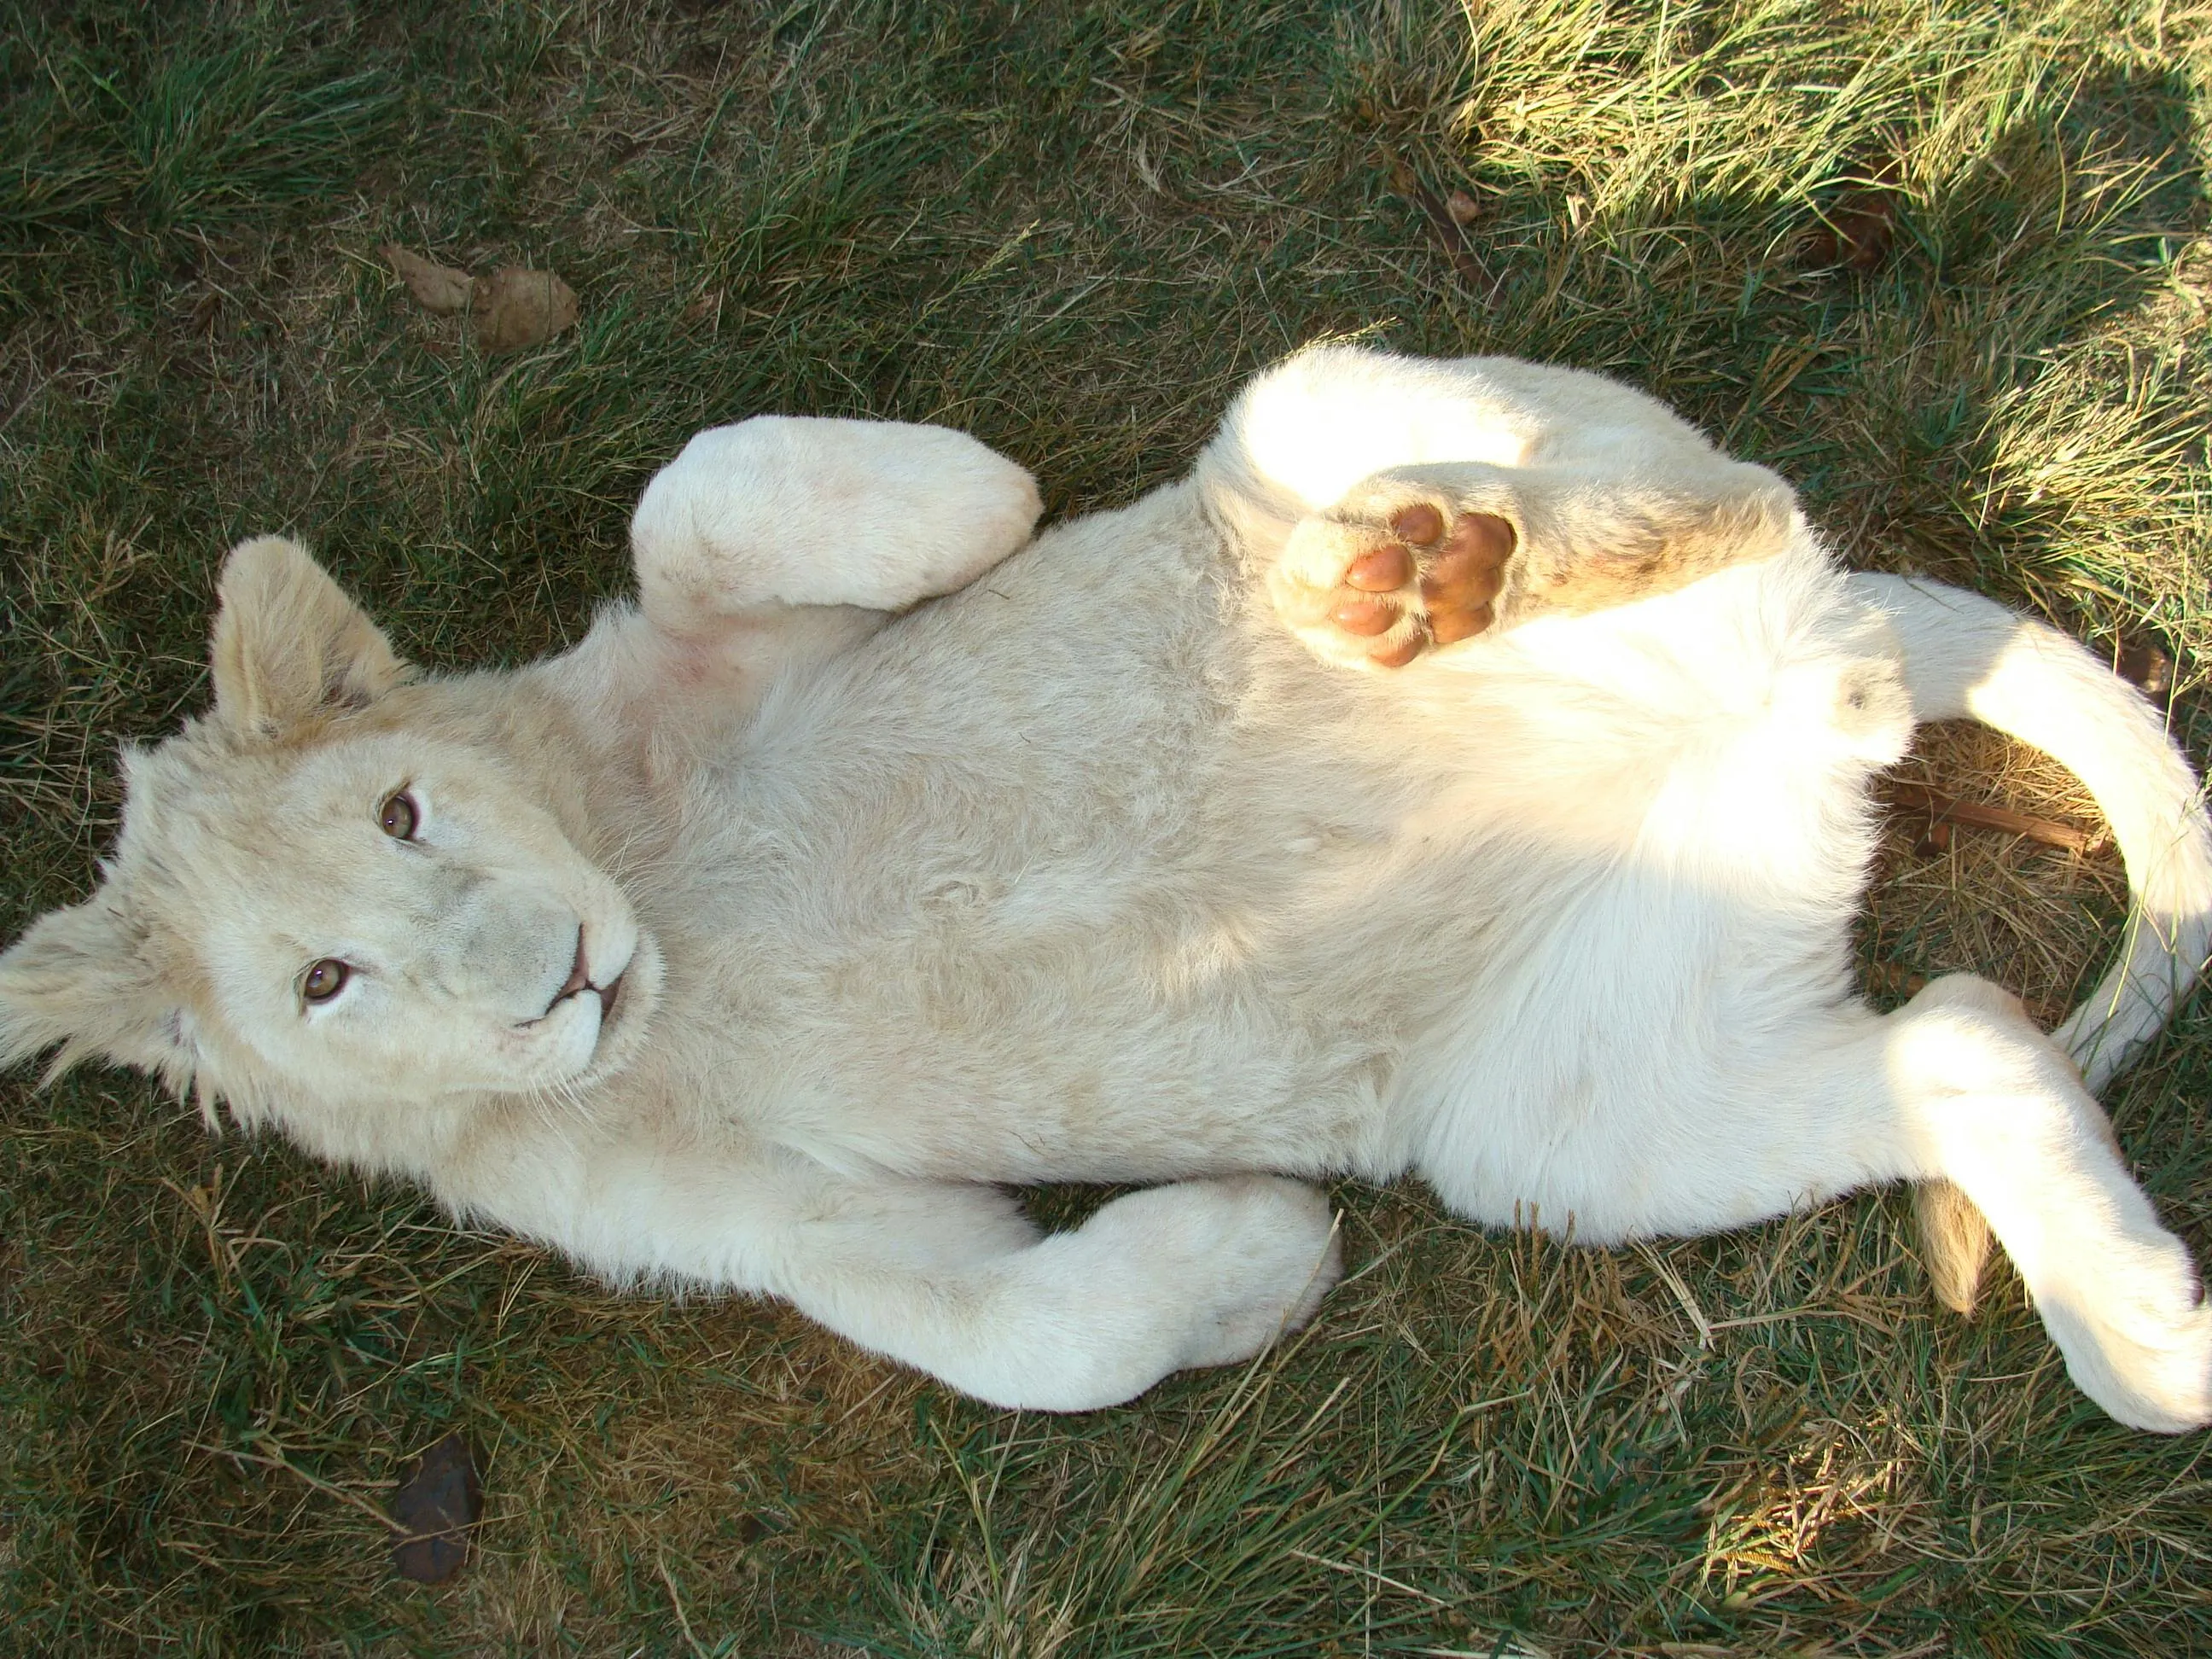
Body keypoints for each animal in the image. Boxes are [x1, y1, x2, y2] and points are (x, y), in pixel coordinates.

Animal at [5, 346, 2210, 1429]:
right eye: (321, 986)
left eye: (402, 811)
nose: (555, 974)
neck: (658, 914)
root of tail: (1813, 661)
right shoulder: (777, 1229)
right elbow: (1021, 1341)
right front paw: (1256, 1253)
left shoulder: (715, 634)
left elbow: (705, 488)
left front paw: (972, 505)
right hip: (1580, 1125)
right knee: (1965, 1037)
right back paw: (2149, 1338)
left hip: (1318, 410)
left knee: (1701, 489)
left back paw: (1425, 571)